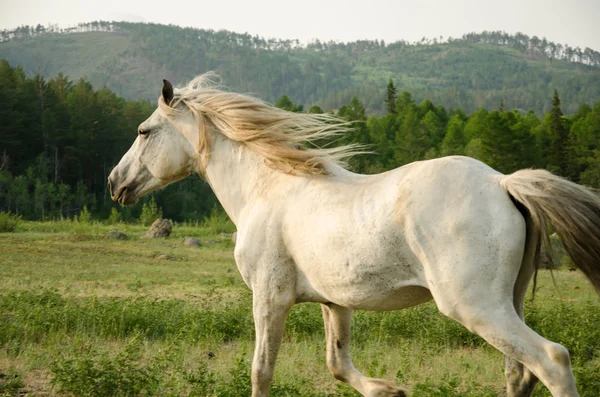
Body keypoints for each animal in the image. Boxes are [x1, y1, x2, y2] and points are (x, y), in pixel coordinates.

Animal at [109, 73, 600, 392]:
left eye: (144, 131)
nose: (116, 183)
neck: (264, 189)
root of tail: (503, 183)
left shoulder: (269, 297)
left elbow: (261, 371)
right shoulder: (335, 302)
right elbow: (338, 364)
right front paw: (391, 389)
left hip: (476, 306)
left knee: (552, 360)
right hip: (508, 303)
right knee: (520, 374)